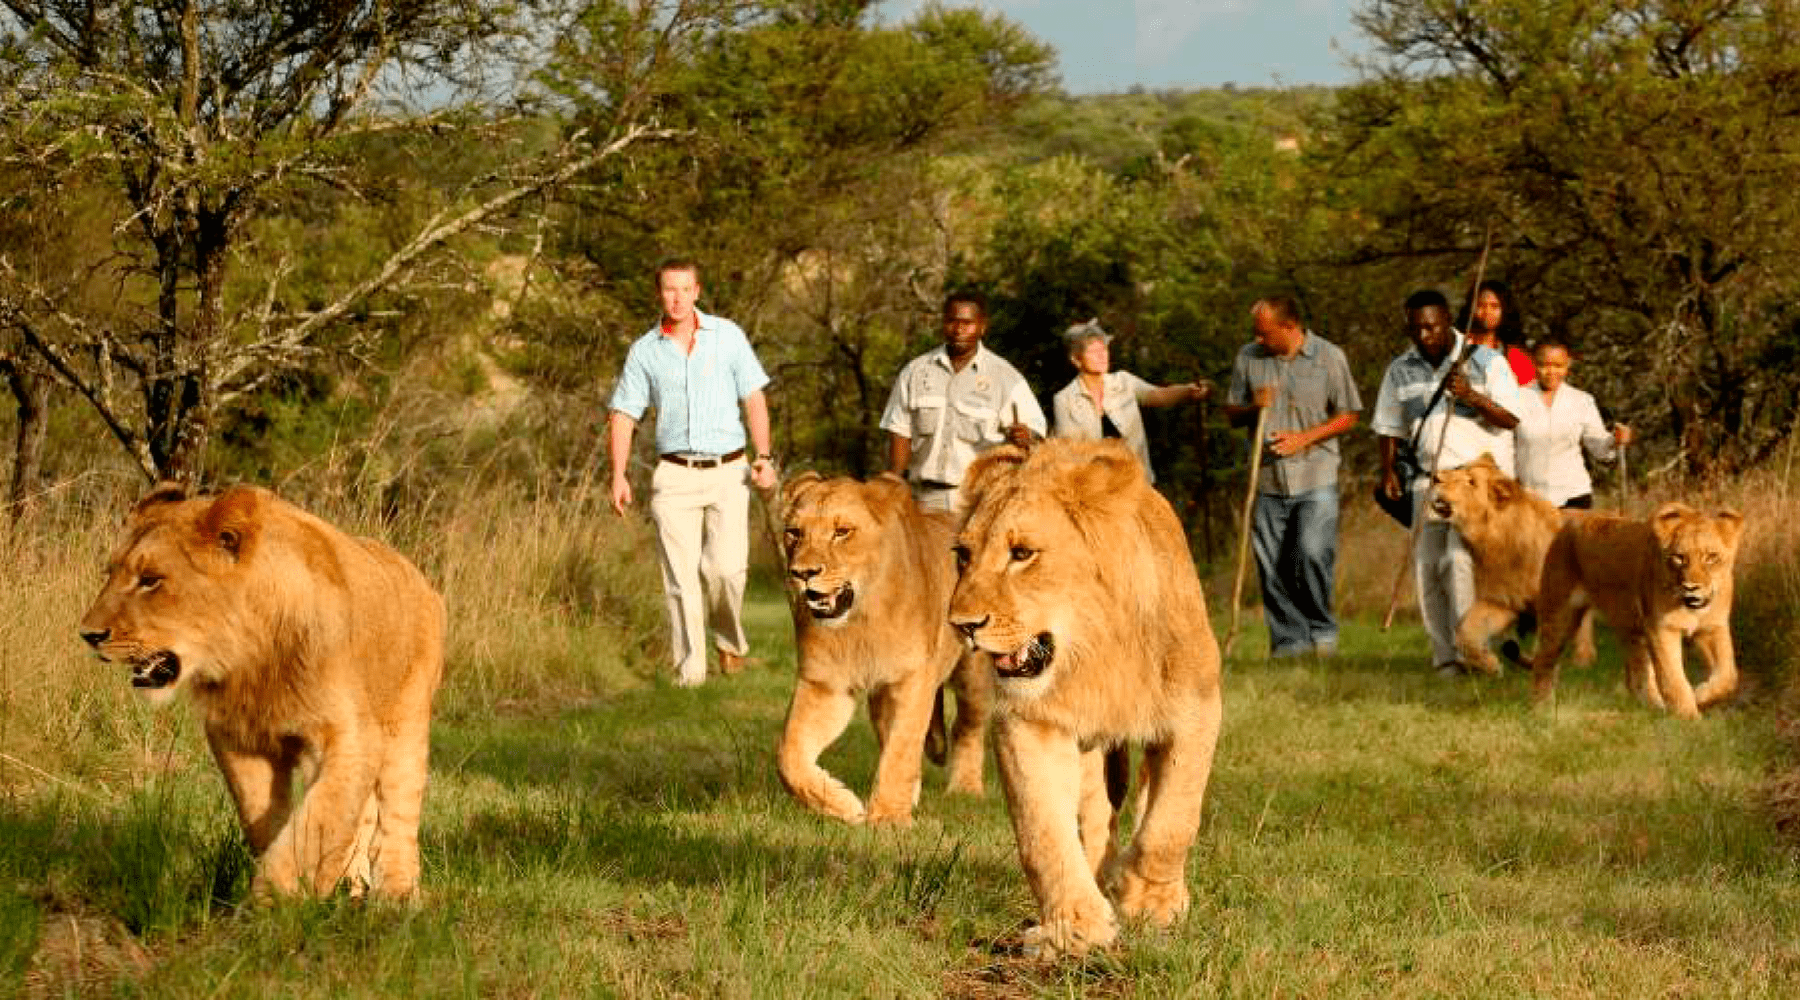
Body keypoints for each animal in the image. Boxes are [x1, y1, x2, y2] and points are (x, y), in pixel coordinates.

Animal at [78, 483, 446, 899]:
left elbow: (317, 820)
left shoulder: (352, 738)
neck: (252, 661)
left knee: (399, 814)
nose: (88, 635)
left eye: (150, 579)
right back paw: (351, 885)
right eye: (110, 573)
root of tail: (422, 579)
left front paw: (275, 899)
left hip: (407, 724)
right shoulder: (238, 739)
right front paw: (299, 884)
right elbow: (269, 819)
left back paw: (397, 893)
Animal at [776, 472, 993, 826]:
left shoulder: (912, 679)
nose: (802, 573)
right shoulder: (825, 685)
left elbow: (902, 747)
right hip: (880, 696)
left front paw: (889, 817)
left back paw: (966, 789)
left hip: (972, 676)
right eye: (794, 533)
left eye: (842, 532)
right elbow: (788, 754)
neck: (860, 622)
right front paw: (843, 805)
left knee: (967, 727)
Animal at [946, 438, 1222, 957]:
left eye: (1022, 553)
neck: (1096, 653)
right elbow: (1042, 832)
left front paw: (1151, 903)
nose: (962, 625)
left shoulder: (1197, 709)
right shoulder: (1029, 721)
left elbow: (1172, 821)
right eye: (962, 555)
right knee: (1095, 819)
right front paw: (1075, 927)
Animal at [1429, 454, 1593, 674]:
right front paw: (1490, 665)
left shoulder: (1551, 602)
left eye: (1471, 482)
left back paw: (1583, 663)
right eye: (1459, 468)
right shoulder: (1500, 601)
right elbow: (1465, 632)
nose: (1435, 477)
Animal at [1528, 501, 1744, 718]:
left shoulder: (1713, 627)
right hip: (1559, 615)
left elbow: (1729, 676)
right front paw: (1688, 716)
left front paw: (1700, 696)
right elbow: (1673, 678)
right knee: (1543, 660)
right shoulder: (1661, 628)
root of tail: (1572, 517)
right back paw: (1542, 708)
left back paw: (1654, 708)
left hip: (1632, 630)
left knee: (1636, 676)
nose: (1691, 587)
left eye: (1711, 557)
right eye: (1679, 558)